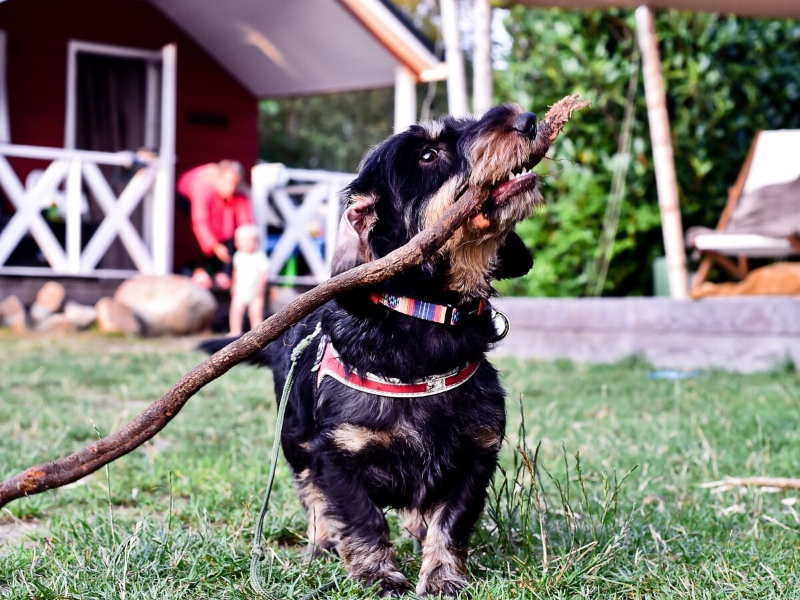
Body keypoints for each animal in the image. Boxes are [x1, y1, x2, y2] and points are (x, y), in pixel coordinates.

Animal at [203, 105, 548, 596]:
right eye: (428, 154)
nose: (528, 118)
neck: (425, 319)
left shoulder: (474, 453)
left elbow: (450, 522)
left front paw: (442, 577)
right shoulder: (335, 455)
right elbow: (361, 519)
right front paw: (379, 575)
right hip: (294, 439)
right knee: (311, 494)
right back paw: (323, 543)